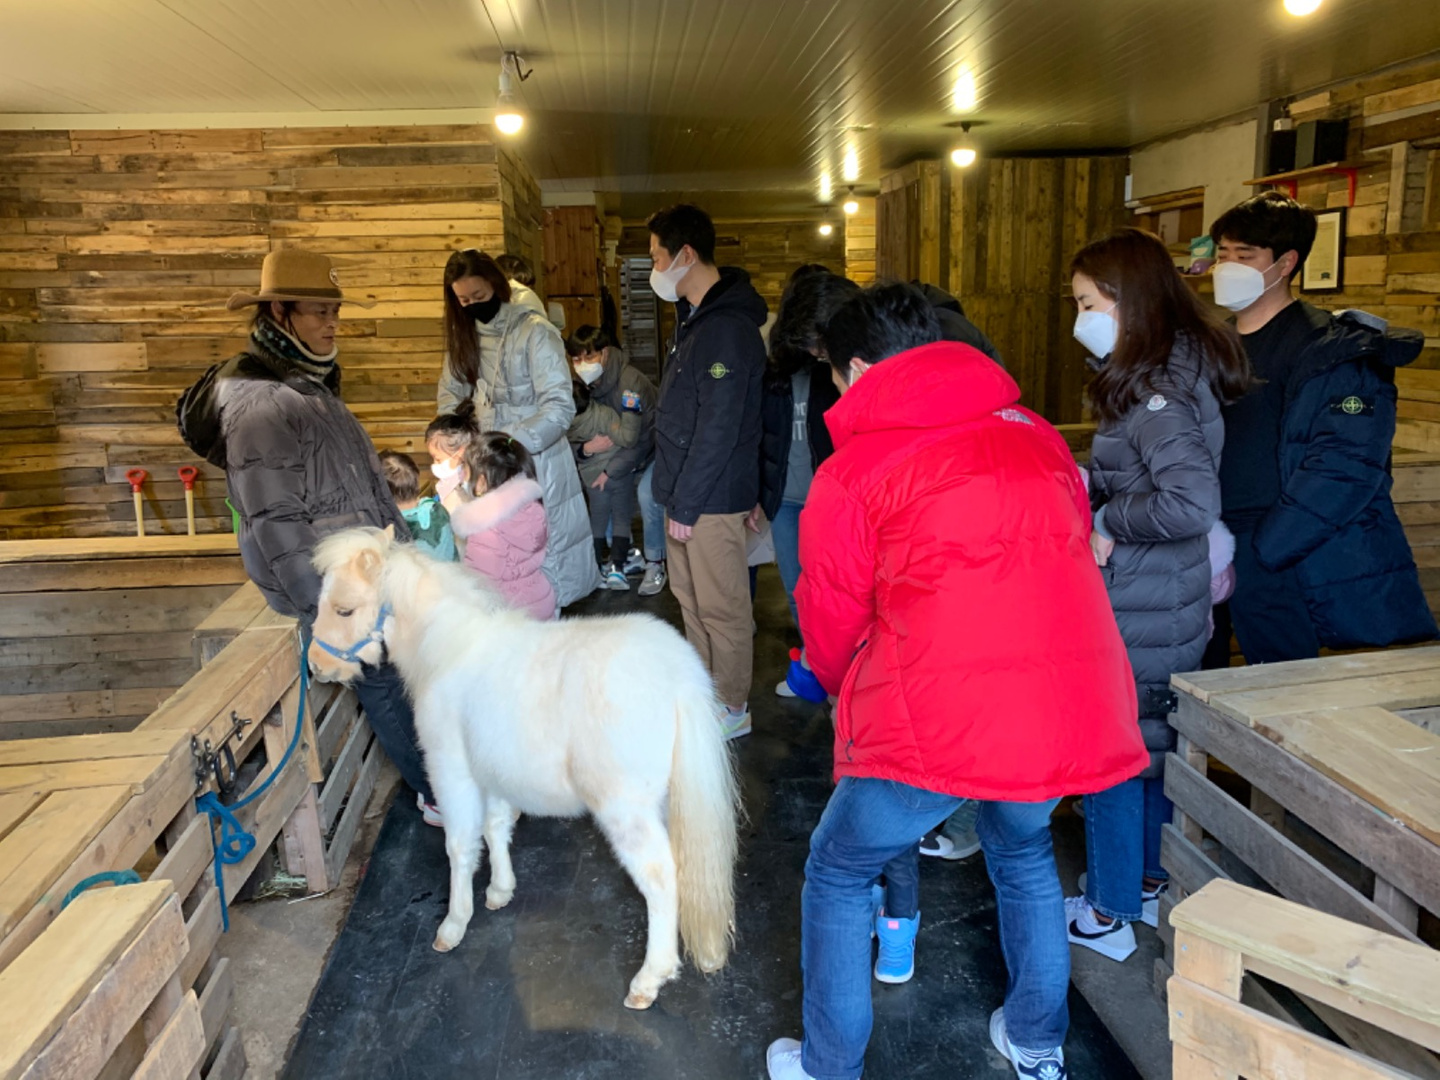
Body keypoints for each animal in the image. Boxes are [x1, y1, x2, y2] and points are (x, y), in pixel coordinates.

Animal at [312, 529, 743, 1013]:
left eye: (344, 609)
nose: (316, 666)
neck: (448, 650)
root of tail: (679, 680)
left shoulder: (451, 772)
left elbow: (459, 846)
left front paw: (453, 925)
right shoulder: (494, 770)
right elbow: (496, 827)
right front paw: (500, 891)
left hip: (626, 812)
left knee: (660, 877)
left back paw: (649, 980)